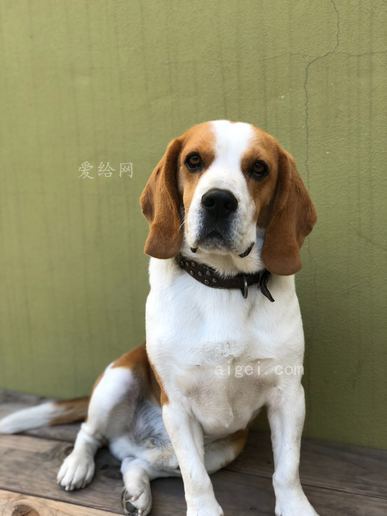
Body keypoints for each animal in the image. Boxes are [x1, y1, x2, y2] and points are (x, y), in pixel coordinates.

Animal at [0, 121, 318, 516]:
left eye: (259, 168)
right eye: (193, 160)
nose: (218, 200)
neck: (223, 283)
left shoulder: (288, 395)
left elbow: (286, 470)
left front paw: (295, 507)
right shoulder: (177, 405)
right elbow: (196, 480)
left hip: (226, 448)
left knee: (134, 462)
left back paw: (136, 492)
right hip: (117, 380)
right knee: (91, 433)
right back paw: (77, 466)